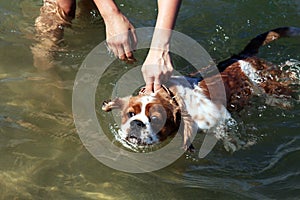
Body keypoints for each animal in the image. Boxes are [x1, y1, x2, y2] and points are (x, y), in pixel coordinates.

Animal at [102, 27, 298, 151]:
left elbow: (227, 134)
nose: (137, 123)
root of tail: (240, 56)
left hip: (268, 83)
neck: (173, 96)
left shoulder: (220, 118)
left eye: (156, 119)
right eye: (130, 114)